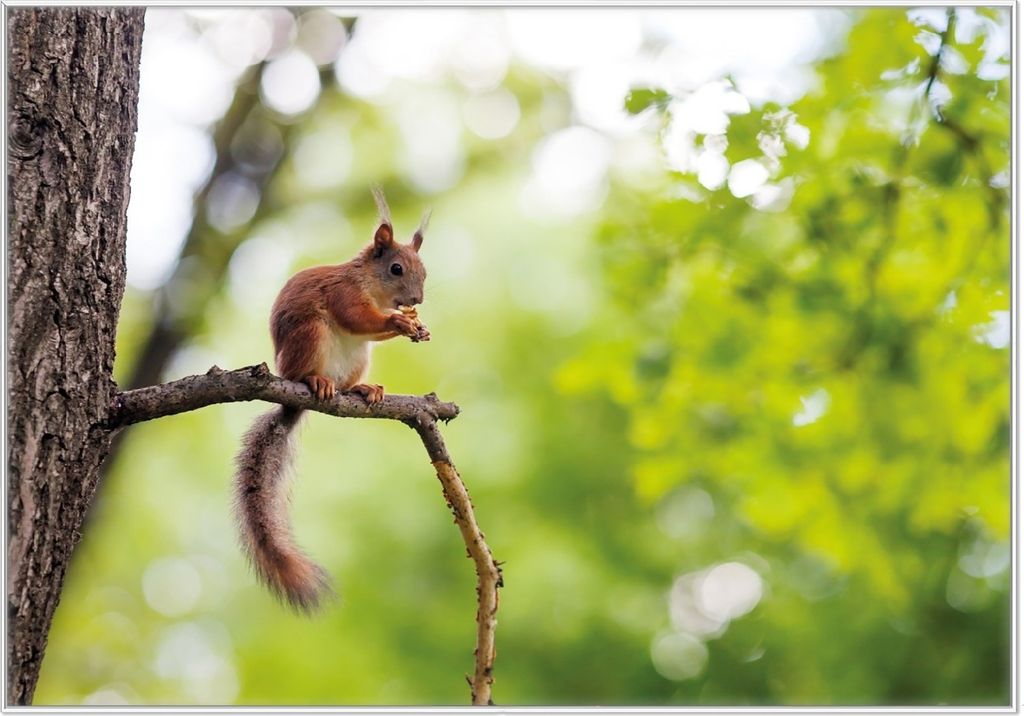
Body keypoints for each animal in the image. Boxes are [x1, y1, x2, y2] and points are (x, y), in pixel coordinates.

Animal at [233, 188, 430, 613]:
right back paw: (316, 381)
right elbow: (357, 317)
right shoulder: (343, 294)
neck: (369, 284)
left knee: (348, 382)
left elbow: (371, 329)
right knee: (306, 371)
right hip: (311, 335)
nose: (417, 299)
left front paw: (415, 326)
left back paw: (363, 390)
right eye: (395, 269)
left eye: (424, 271)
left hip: (358, 358)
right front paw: (399, 322)